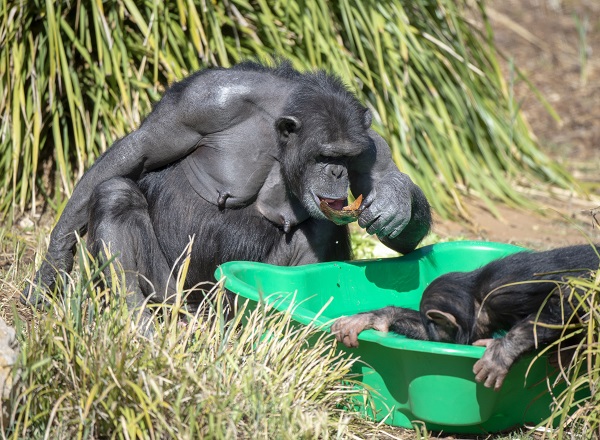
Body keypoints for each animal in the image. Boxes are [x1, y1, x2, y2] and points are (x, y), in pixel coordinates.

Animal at [21, 61, 428, 316]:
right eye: (325, 154)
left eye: (347, 157)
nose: (337, 171)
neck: (279, 133)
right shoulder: (205, 101)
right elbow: (134, 153)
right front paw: (52, 268)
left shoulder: (371, 146)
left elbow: (400, 236)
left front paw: (395, 202)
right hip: (173, 293)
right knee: (115, 194)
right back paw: (137, 323)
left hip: (229, 303)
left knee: (321, 229)